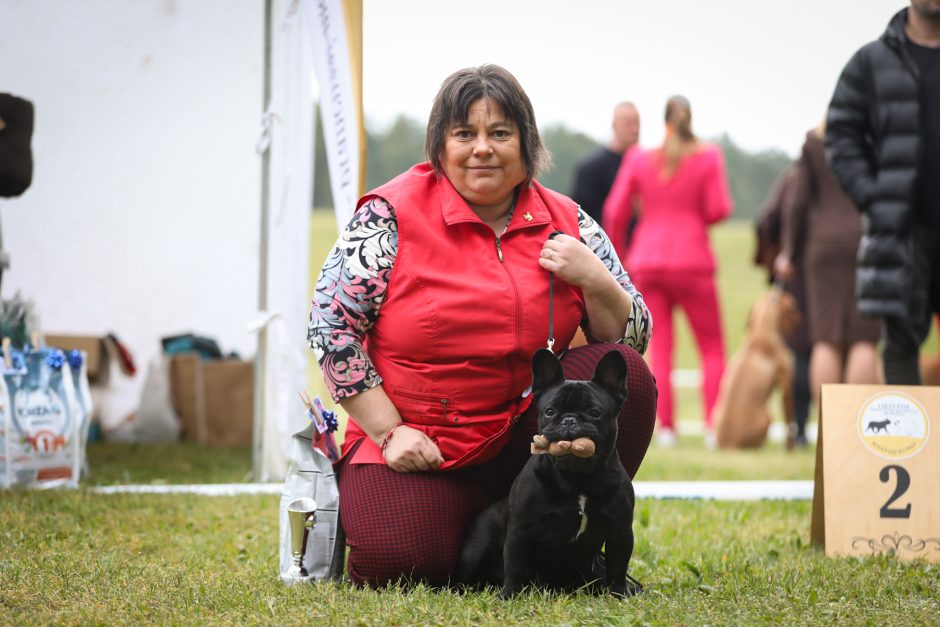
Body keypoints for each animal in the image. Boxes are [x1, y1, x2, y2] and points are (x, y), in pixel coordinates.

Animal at [452, 348, 638, 598]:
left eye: (594, 412)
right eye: (550, 411)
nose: (569, 420)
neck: (577, 478)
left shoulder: (621, 531)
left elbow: (618, 566)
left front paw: (618, 594)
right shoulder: (521, 530)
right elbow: (514, 564)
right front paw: (510, 595)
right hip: (476, 549)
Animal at [711, 287, 800, 449]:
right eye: (794, 308)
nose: (801, 321)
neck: (761, 332)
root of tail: (730, 444)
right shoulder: (787, 387)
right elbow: (789, 424)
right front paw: (790, 448)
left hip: (716, 412)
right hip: (766, 416)